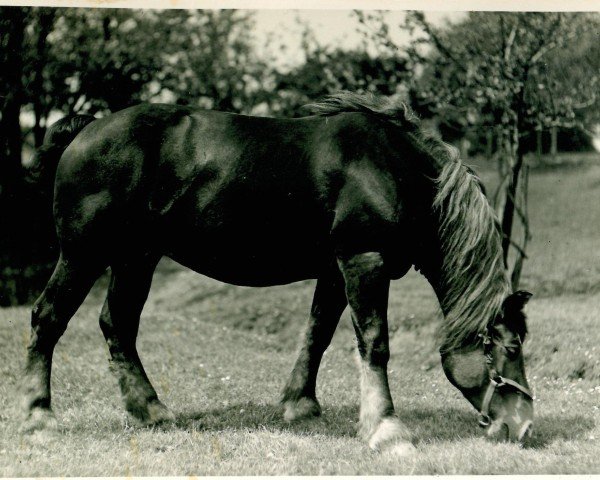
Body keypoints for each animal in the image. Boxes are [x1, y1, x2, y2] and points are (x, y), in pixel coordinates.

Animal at [19, 92, 536, 452]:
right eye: (510, 349)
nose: (524, 424)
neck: (394, 166)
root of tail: (88, 127)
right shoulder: (363, 261)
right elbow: (374, 342)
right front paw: (386, 430)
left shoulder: (334, 271)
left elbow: (317, 334)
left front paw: (299, 405)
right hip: (83, 254)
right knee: (48, 319)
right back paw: (39, 417)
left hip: (135, 258)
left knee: (117, 325)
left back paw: (151, 410)